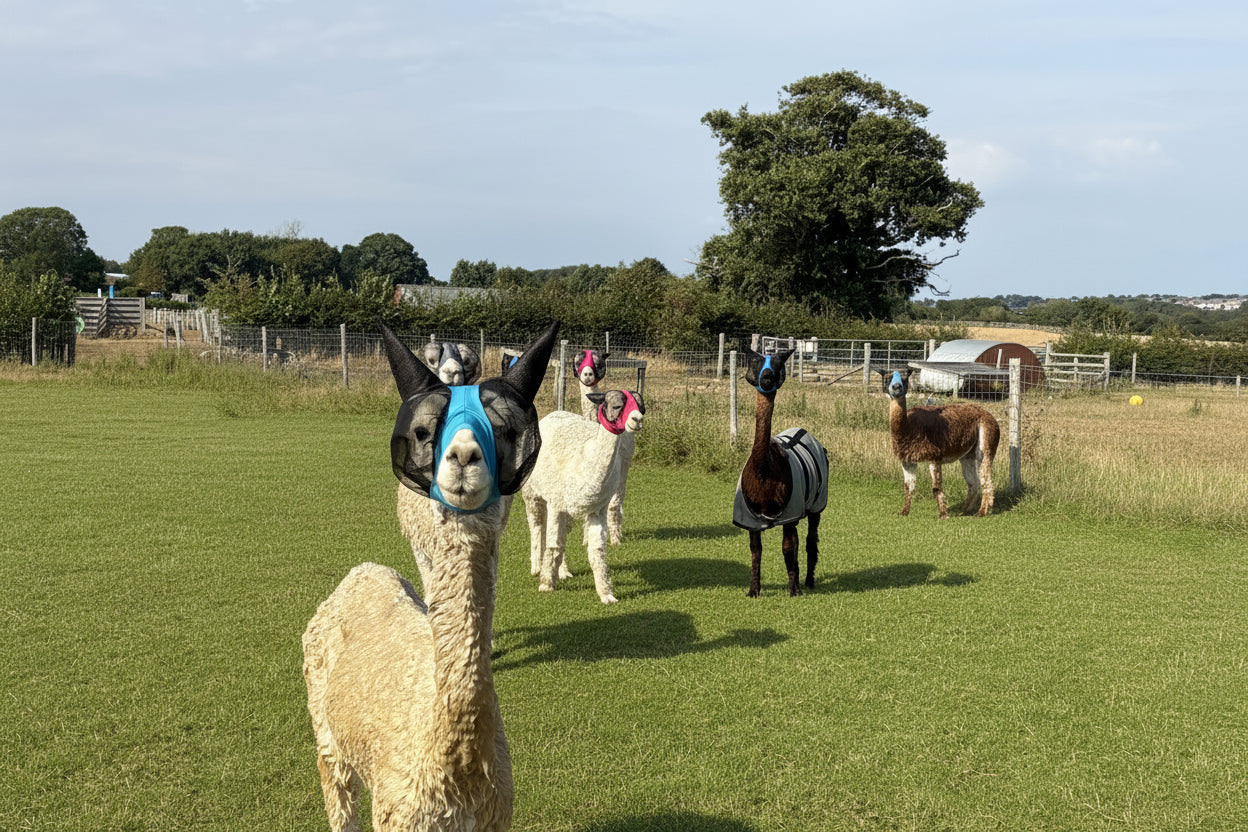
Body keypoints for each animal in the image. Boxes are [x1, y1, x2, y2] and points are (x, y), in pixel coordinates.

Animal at [302, 320, 558, 832]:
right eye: (425, 431)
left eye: (506, 431)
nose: (463, 456)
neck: (456, 771)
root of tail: (362, 573)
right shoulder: (398, 814)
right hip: (326, 734)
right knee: (338, 798)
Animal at [521, 388, 645, 603]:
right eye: (617, 406)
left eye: (640, 406)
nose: (637, 419)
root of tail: (553, 414)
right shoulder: (557, 504)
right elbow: (553, 545)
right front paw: (546, 585)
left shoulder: (597, 509)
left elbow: (597, 552)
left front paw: (606, 594)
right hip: (533, 491)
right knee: (536, 527)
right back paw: (536, 567)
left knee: (561, 536)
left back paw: (563, 571)